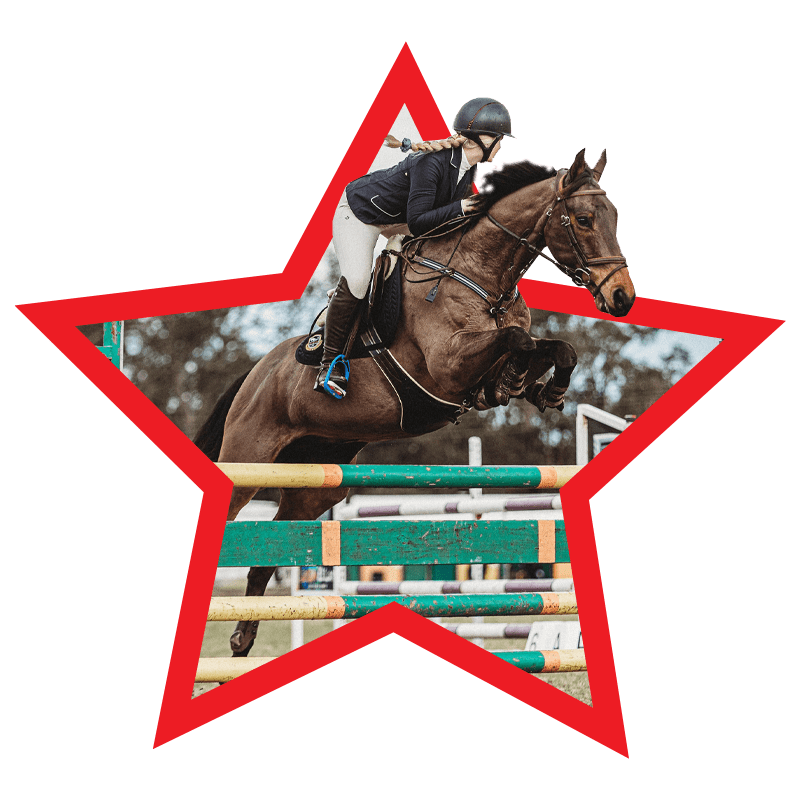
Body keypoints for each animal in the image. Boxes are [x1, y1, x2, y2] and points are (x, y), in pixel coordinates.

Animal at [194, 148, 634, 657]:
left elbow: (557, 349)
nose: (622, 297)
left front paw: (543, 387)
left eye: (615, 216)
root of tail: (257, 372)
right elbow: (517, 339)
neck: (482, 277)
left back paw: (242, 640)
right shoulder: (449, 365)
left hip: (316, 483)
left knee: (269, 554)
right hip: (248, 460)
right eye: (583, 219)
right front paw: (517, 375)